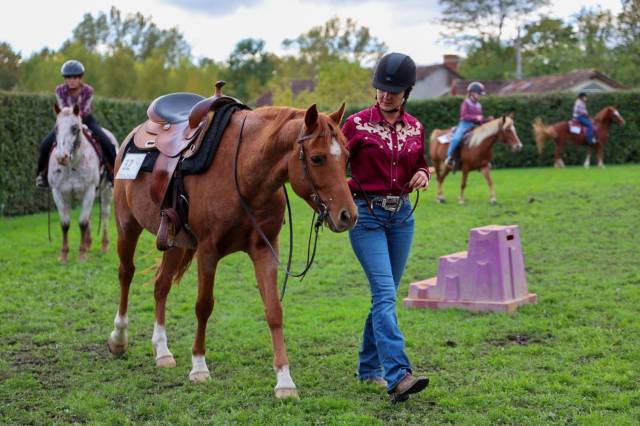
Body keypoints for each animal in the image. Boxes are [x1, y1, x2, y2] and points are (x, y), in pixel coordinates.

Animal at [48, 104, 118, 262]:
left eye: (75, 128)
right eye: (56, 128)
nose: (61, 157)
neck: (72, 167)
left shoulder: (89, 191)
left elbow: (82, 222)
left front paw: (82, 255)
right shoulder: (58, 193)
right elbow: (65, 224)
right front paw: (64, 255)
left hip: (107, 191)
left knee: (105, 214)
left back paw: (104, 246)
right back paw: (88, 242)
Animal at [106, 102, 357, 399]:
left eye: (347, 157)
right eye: (317, 158)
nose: (348, 215)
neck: (244, 173)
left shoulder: (265, 249)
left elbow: (274, 311)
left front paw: (284, 380)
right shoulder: (207, 251)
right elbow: (203, 306)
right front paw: (199, 366)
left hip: (174, 242)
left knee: (161, 286)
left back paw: (162, 351)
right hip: (127, 225)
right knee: (126, 273)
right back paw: (119, 338)